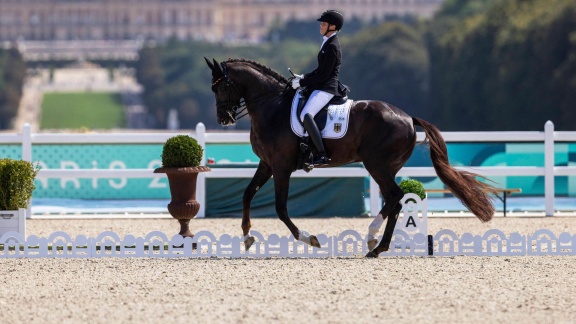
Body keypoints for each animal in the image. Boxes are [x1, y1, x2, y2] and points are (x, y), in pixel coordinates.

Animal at [205, 57, 498, 256]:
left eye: (220, 88)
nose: (223, 119)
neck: (272, 107)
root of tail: (407, 117)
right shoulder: (267, 164)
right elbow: (247, 194)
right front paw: (246, 237)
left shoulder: (281, 167)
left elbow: (280, 208)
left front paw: (308, 238)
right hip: (385, 167)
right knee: (394, 201)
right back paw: (376, 245)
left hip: (376, 164)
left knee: (395, 197)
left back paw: (374, 240)